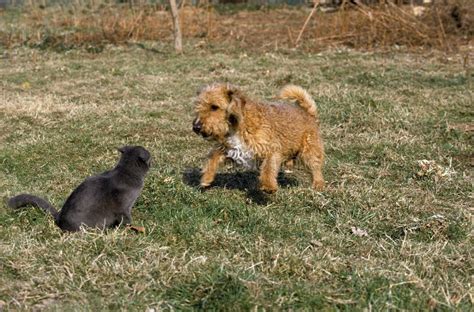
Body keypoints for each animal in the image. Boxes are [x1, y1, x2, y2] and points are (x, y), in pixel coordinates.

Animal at [7, 145, 152, 230]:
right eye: (150, 157)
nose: (154, 160)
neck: (125, 171)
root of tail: (59, 218)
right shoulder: (125, 208)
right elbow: (127, 219)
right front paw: (132, 227)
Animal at [192, 83, 322, 193]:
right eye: (198, 105)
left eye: (214, 107)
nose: (196, 127)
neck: (239, 124)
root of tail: (308, 113)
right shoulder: (230, 148)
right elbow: (213, 157)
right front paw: (206, 178)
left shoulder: (271, 149)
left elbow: (268, 167)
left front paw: (268, 186)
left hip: (309, 151)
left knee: (316, 169)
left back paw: (318, 185)